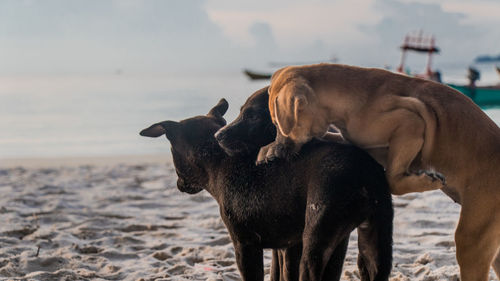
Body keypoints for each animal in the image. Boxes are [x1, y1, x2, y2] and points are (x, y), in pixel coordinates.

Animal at [142, 93, 394, 278]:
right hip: (373, 246)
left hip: (316, 241)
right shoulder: (285, 247)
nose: (179, 184)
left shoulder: (245, 245)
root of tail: (363, 171)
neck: (218, 159)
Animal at [258, 63, 500, 280]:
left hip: (472, 238)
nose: (280, 152)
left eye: (278, 123)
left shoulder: (411, 122)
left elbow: (393, 179)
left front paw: (429, 180)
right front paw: (267, 149)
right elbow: (332, 137)